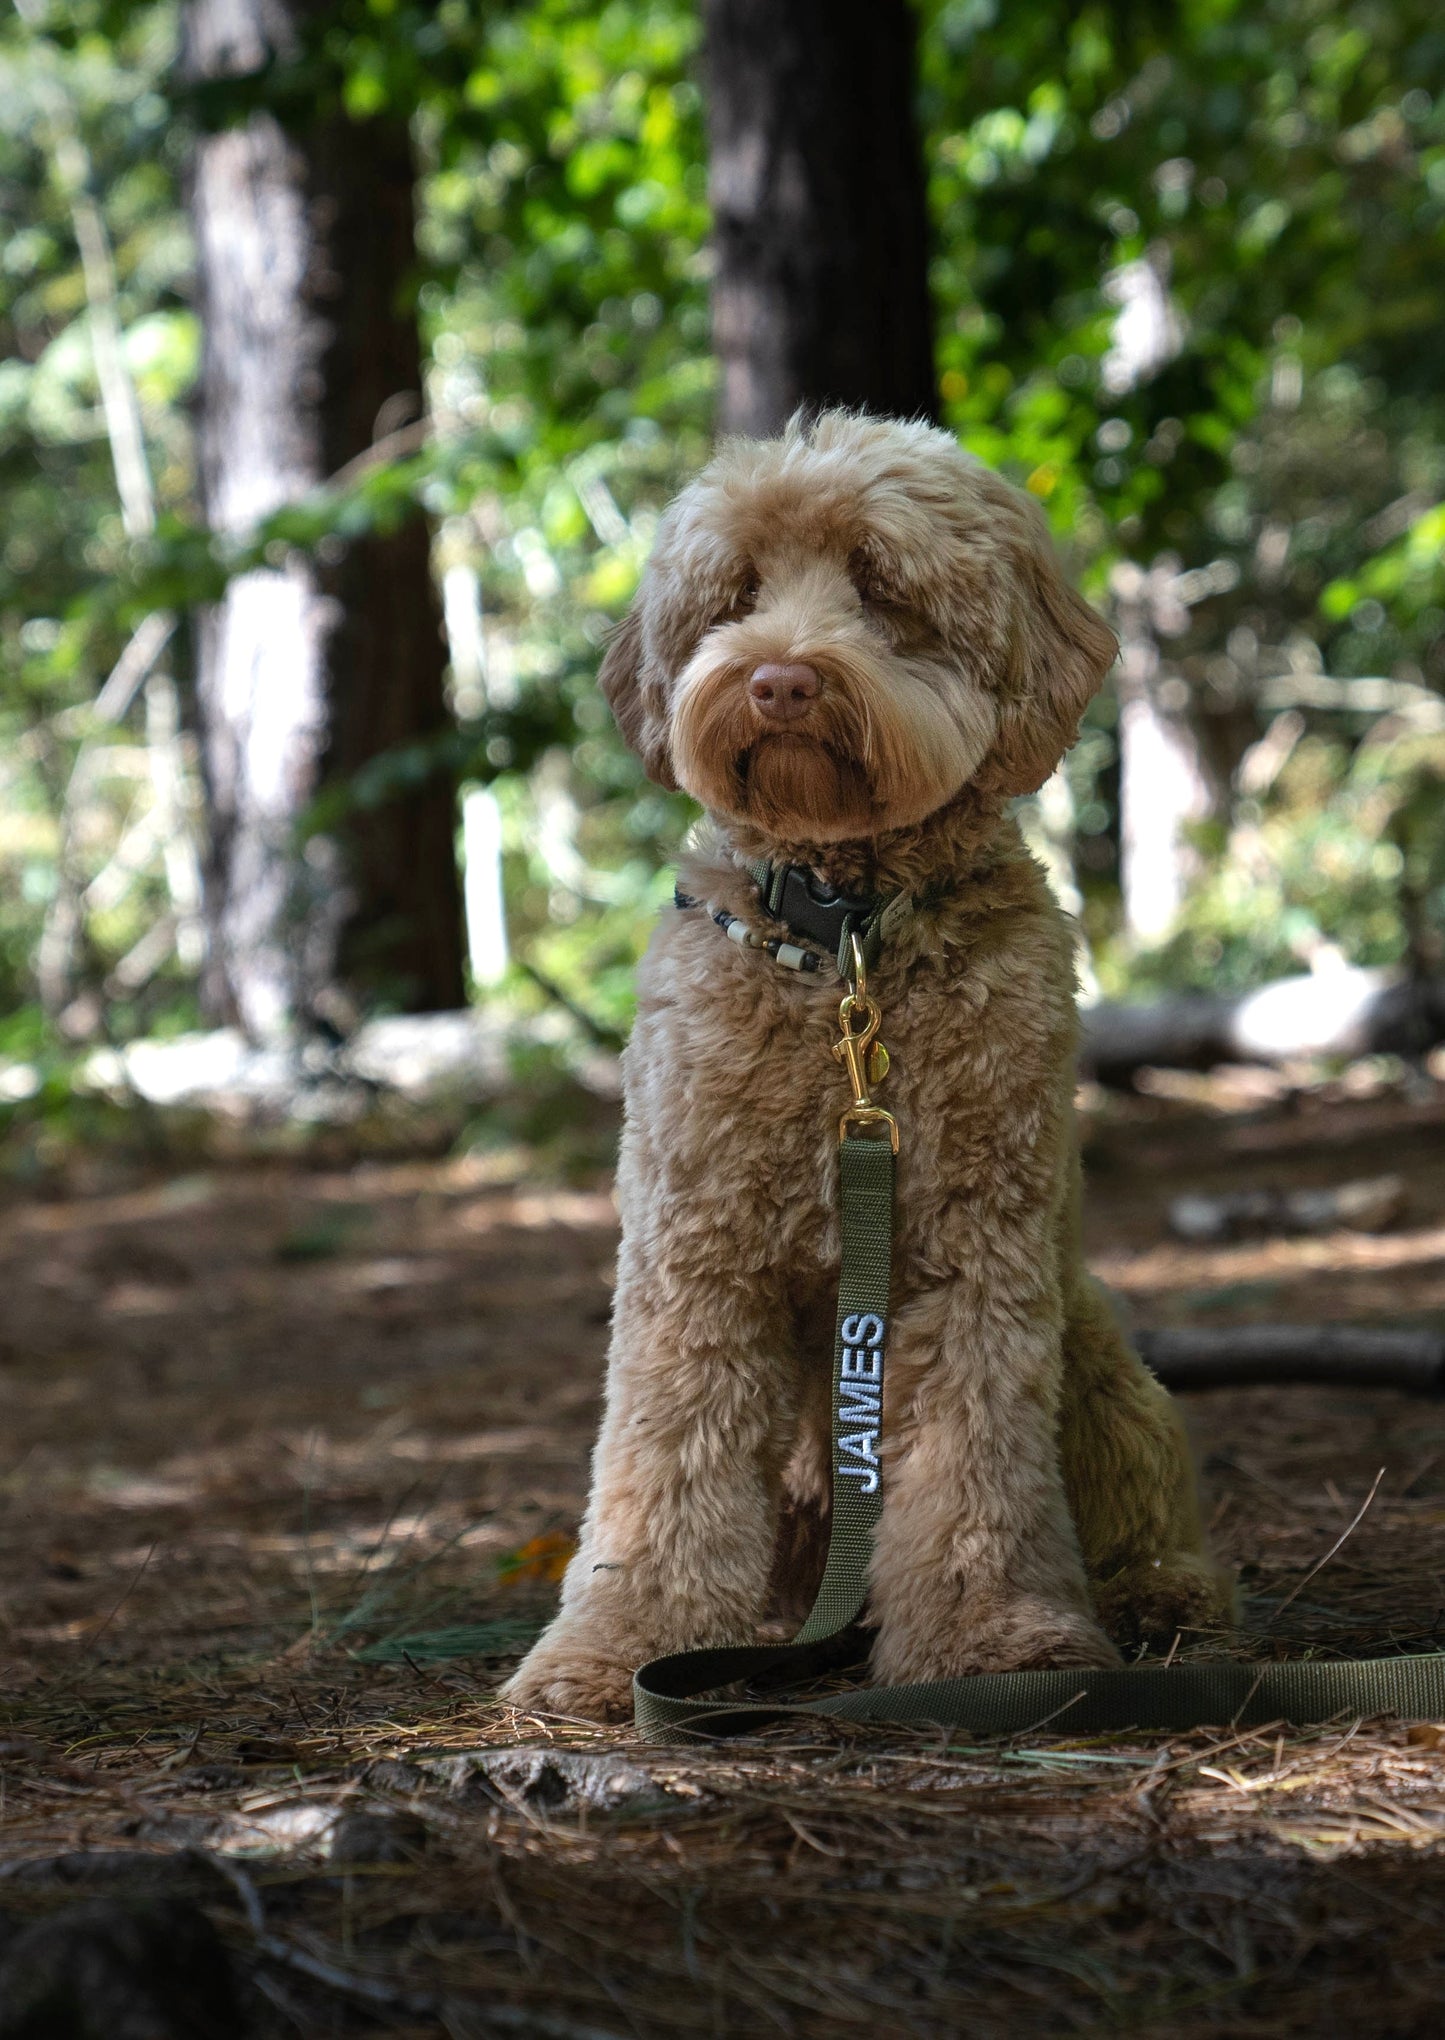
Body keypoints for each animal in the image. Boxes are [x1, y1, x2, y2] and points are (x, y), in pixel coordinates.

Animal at [500, 401, 1232, 1721]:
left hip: (1097, 1361)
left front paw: (995, 1641)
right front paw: (619, 1649)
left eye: (882, 587)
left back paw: (1164, 1600)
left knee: (1139, 1500)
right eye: (736, 592)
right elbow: (662, 1459)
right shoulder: (693, 1258)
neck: (844, 938)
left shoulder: (972, 1255)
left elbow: (972, 1472)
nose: (780, 678)